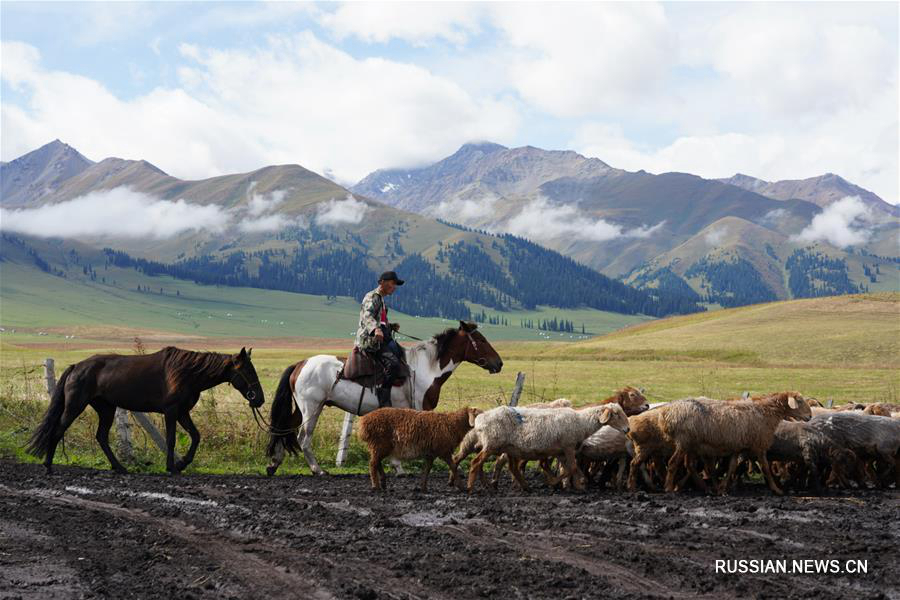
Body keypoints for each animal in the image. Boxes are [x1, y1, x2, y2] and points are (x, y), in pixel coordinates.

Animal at [28, 346, 260, 474]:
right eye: (248, 370)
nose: (259, 399)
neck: (187, 373)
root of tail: (76, 366)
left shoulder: (183, 412)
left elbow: (196, 436)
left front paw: (182, 463)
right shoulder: (172, 411)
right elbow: (171, 440)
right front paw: (172, 467)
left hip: (106, 409)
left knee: (101, 437)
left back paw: (120, 468)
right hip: (75, 405)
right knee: (58, 430)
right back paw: (48, 465)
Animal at [268, 322, 506, 476]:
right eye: (481, 340)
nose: (499, 363)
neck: (426, 368)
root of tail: (301, 363)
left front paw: (397, 466)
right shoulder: (419, 409)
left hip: (302, 410)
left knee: (284, 429)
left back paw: (274, 464)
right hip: (312, 408)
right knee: (303, 438)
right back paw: (317, 470)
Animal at [358, 406, 486, 490]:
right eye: (478, 414)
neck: (452, 424)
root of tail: (363, 423)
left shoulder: (431, 453)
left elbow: (427, 469)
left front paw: (423, 487)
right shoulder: (443, 450)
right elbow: (453, 466)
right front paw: (461, 486)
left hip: (379, 446)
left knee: (377, 462)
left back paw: (383, 483)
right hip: (379, 444)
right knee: (372, 464)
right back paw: (376, 486)